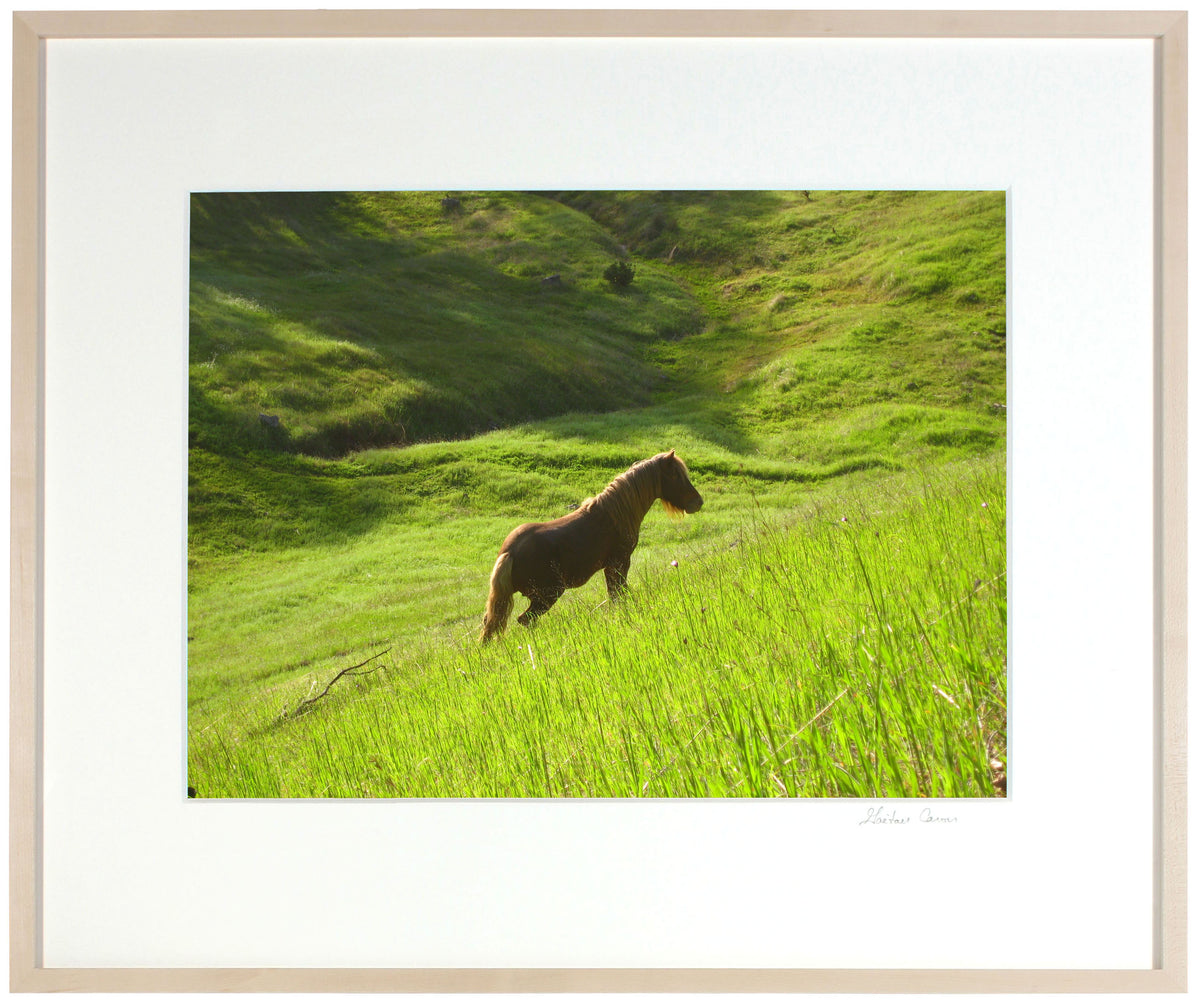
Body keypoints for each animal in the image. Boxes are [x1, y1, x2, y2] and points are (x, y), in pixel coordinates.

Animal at [479, 450, 703, 641]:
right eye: (675, 475)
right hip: (548, 595)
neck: (615, 514)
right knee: (525, 620)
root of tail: (508, 553)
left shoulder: (611, 567)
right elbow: (618, 595)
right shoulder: (618, 563)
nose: (698, 502)